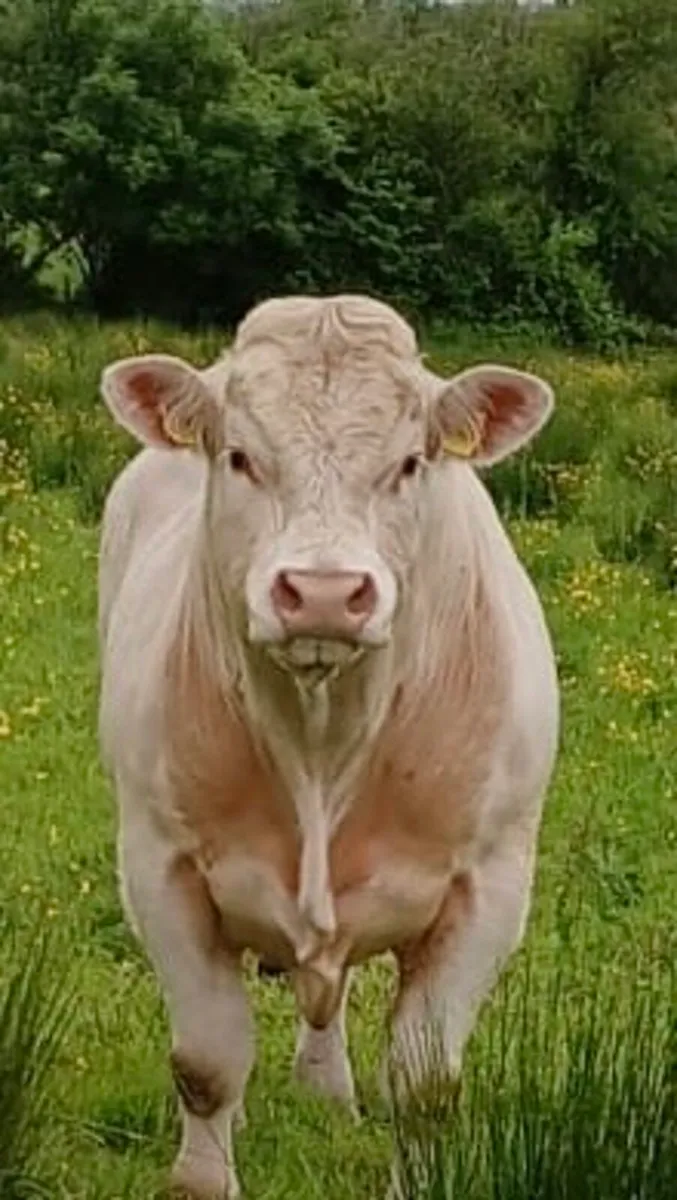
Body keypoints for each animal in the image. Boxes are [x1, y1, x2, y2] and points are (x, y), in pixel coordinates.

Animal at [97, 294, 559, 1199]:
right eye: (239, 456)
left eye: (410, 463)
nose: (321, 593)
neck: (321, 742)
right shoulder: (159, 865)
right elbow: (206, 1060)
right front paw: (204, 1174)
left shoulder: (490, 885)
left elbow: (424, 1085)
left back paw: (326, 1086)